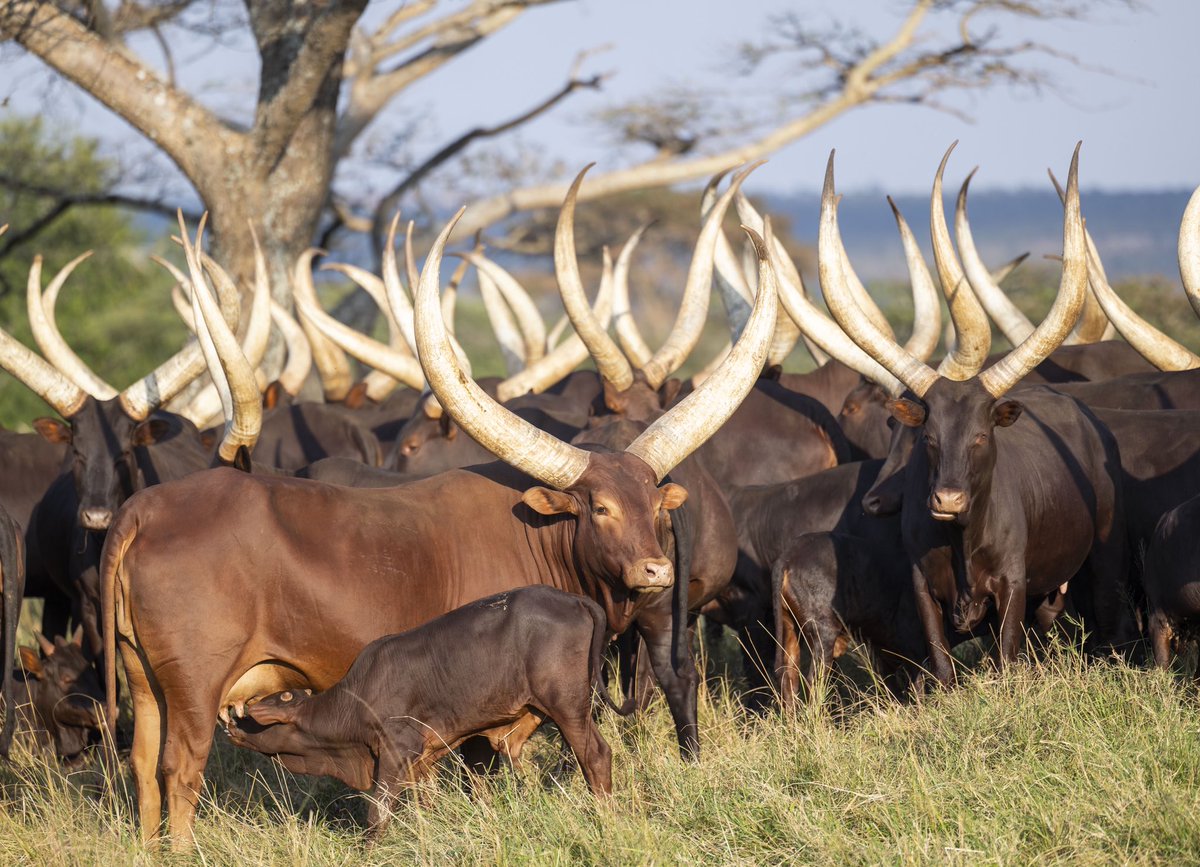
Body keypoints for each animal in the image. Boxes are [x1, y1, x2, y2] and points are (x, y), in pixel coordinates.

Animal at [225, 583, 614, 835]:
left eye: (265, 715)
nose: (232, 719)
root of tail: (575, 600)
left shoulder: (395, 749)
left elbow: (378, 812)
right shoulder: (422, 758)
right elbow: (426, 803)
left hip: (567, 706)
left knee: (596, 755)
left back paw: (604, 816)